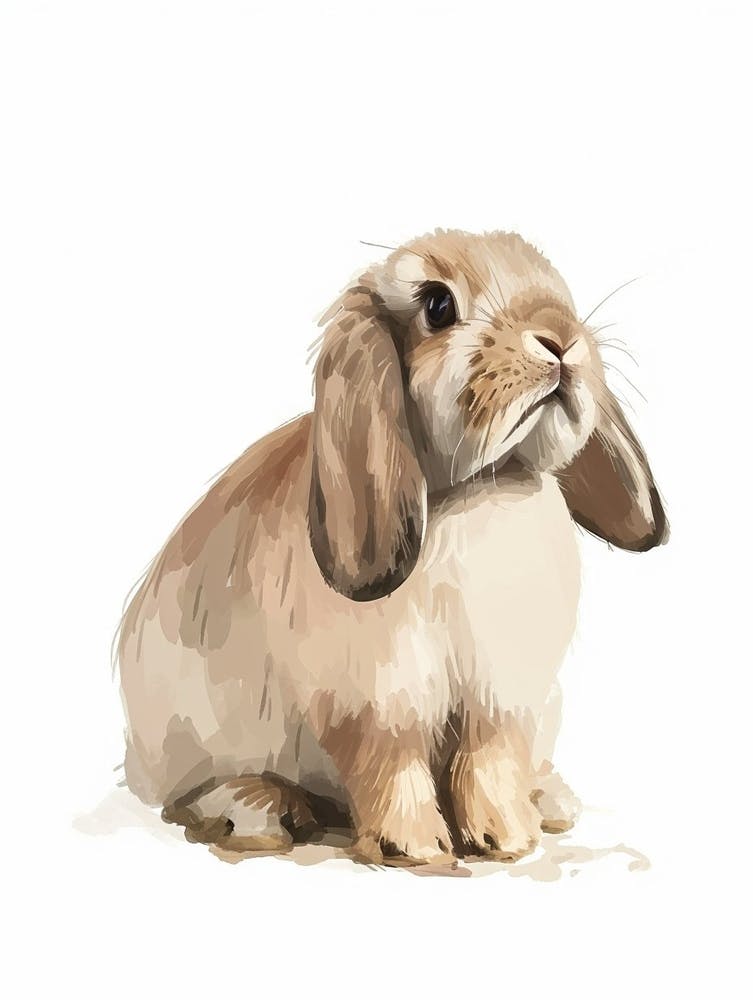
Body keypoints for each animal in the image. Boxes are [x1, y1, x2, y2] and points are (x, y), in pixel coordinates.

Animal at [117, 228, 667, 867]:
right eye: (438, 306)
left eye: (560, 288)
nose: (561, 338)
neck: (484, 484)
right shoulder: (379, 700)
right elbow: (392, 763)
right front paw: (415, 847)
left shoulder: (501, 696)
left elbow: (490, 759)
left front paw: (507, 836)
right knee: (189, 796)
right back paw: (259, 810)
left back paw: (549, 800)